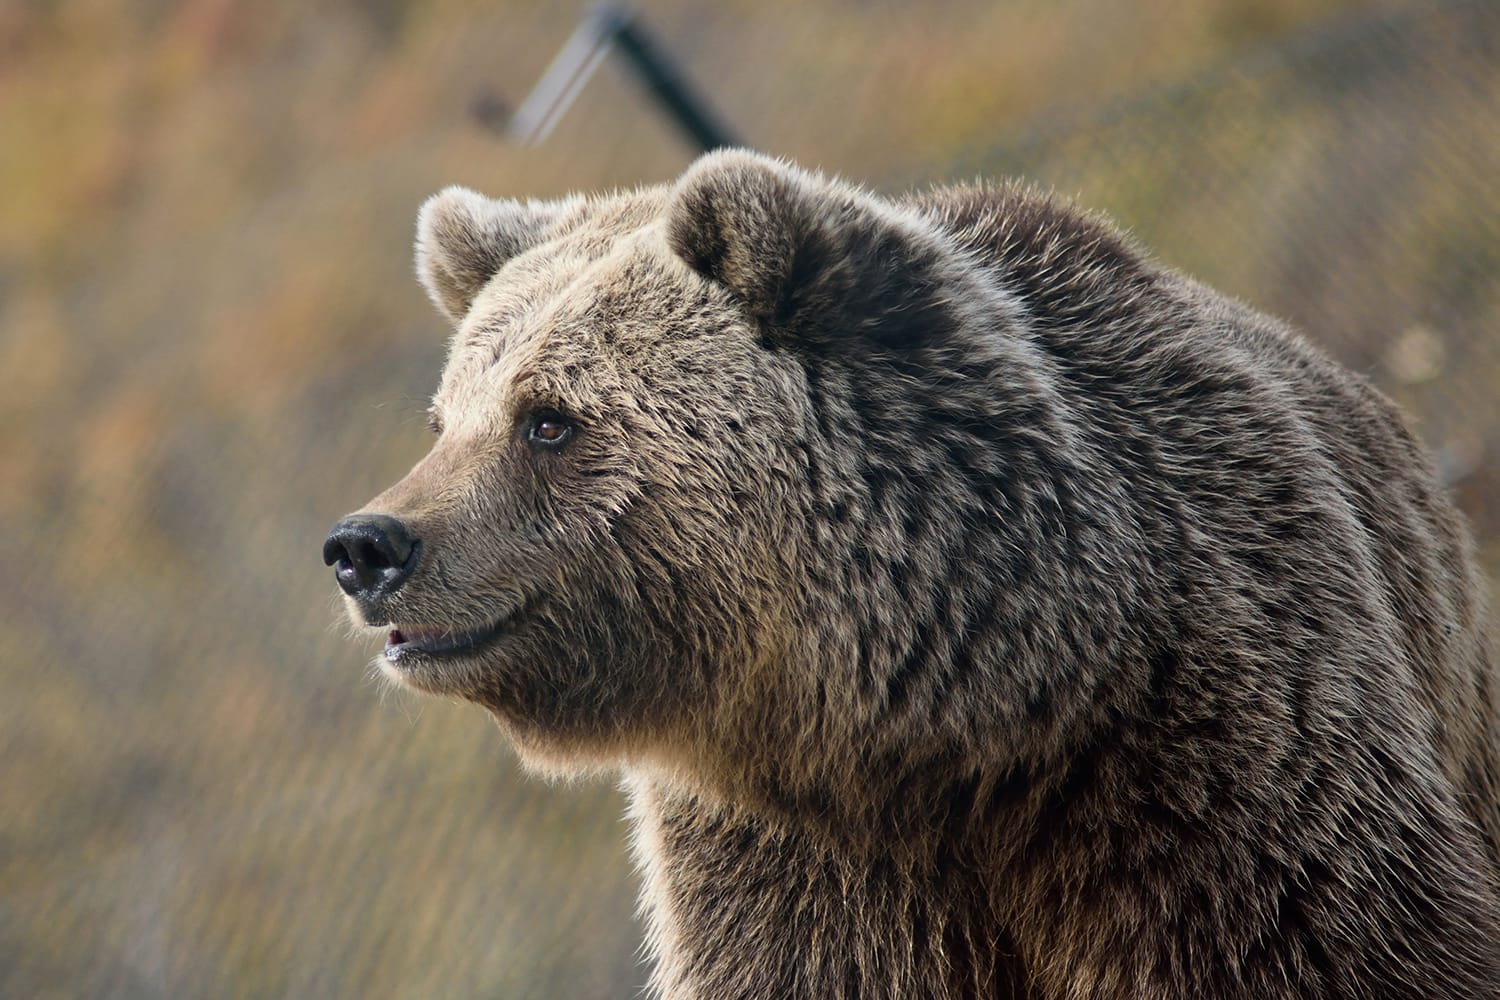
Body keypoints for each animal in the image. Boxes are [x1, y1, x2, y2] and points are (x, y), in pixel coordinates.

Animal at [323, 149, 1500, 999]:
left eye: (549, 418)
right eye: (444, 422)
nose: (366, 545)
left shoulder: (1211, 750)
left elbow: (1317, 940)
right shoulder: (797, 853)